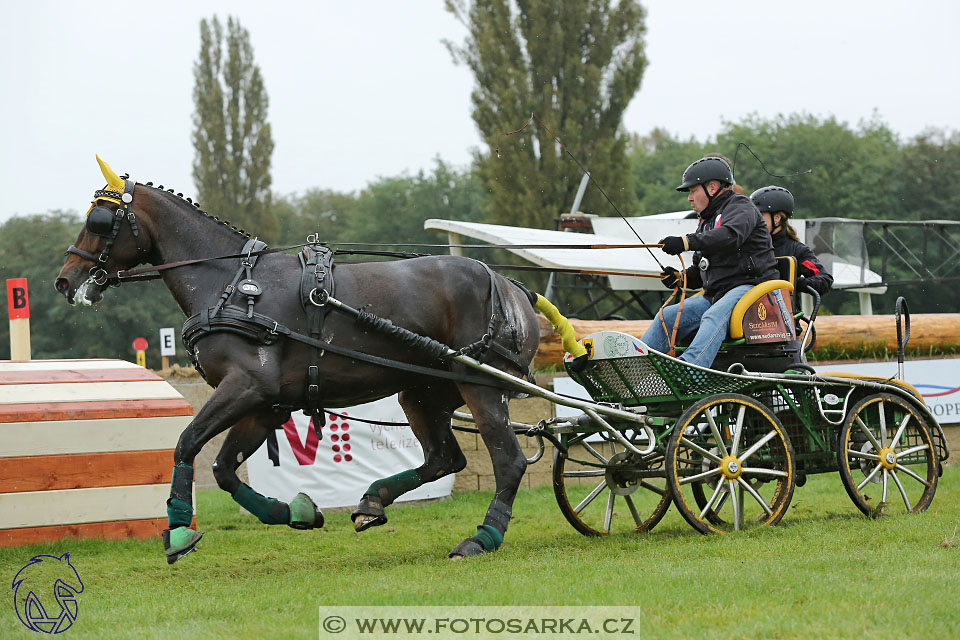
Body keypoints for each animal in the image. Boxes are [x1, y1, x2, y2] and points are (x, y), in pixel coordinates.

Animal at [56, 158, 544, 564]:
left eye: (99, 221)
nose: (66, 281)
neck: (231, 284)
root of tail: (508, 285)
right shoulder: (266, 403)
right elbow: (224, 469)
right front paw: (295, 511)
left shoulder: (247, 386)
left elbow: (187, 443)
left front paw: (177, 529)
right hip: (423, 392)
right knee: (444, 458)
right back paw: (372, 501)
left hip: (481, 385)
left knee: (508, 461)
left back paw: (482, 537)